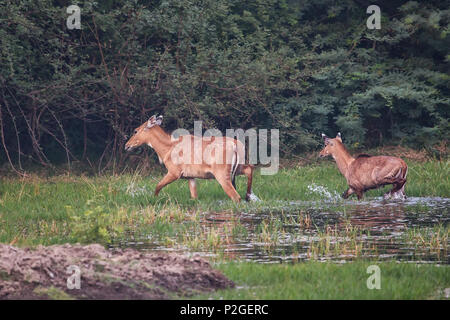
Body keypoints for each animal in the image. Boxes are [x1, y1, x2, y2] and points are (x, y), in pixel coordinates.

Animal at [125, 115, 255, 201]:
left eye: (135, 131)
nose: (127, 145)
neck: (167, 148)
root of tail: (236, 145)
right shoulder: (190, 176)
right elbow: (194, 196)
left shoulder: (174, 172)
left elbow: (157, 186)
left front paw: (155, 199)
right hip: (236, 168)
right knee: (249, 169)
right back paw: (248, 196)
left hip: (222, 174)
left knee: (235, 196)